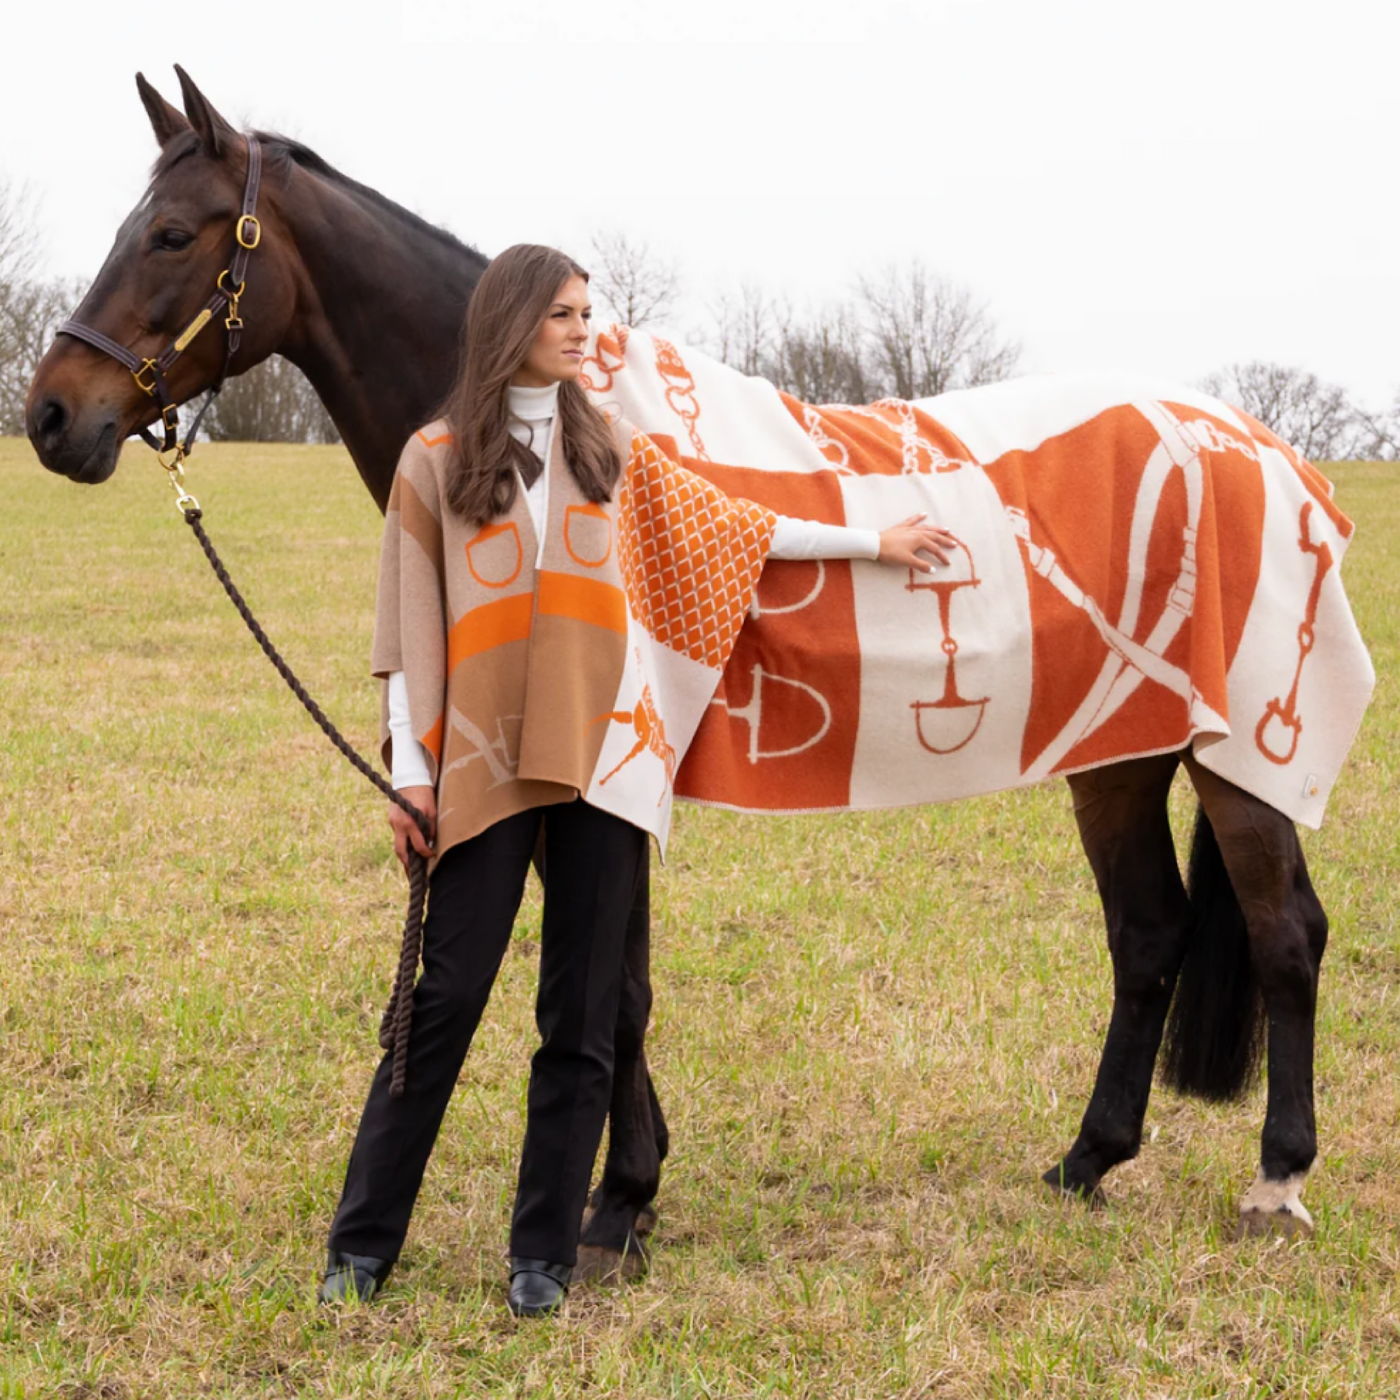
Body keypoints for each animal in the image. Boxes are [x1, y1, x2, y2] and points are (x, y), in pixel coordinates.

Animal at [21, 65, 1349, 1254]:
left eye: (173, 232)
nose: (51, 414)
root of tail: (1258, 449)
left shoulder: (612, 763)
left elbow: (613, 983)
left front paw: (616, 1200)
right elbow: (618, 980)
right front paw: (630, 1188)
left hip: (1227, 758)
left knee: (1284, 931)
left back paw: (1276, 1181)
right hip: (1116, 748)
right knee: (1149, 934)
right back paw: (1085, 1160)